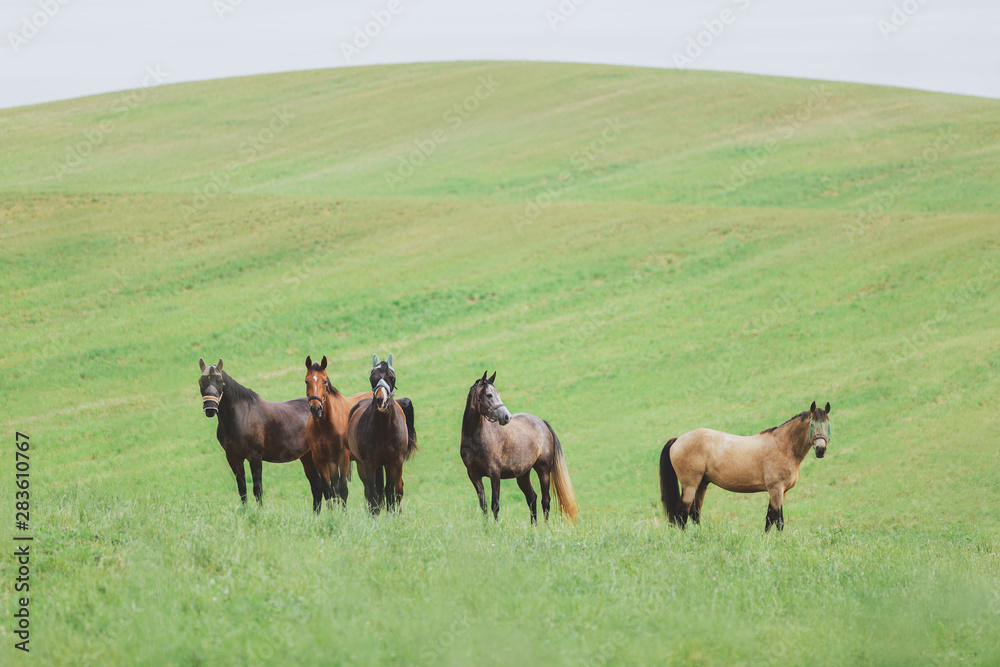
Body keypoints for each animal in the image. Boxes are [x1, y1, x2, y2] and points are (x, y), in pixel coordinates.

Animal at [198, 358, 318, 507]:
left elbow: (257, 489)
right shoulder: (233, 457)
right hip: (307, 457)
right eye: (201, 381)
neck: (241, 416)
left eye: (220, 381)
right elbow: (242, 489)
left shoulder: (255, 457)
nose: (210, 408)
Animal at [303, 355, 370, 512]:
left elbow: (343, 489)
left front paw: (343, 515)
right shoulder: (320, 459)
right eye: (306, 381)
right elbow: (329, 490)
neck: (326, 426)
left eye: (325, 381)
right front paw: (331, 514)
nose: (316, 409)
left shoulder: (343, 456)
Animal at [346, 354, 417, 514]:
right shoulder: (369, 464)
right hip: (363, 465)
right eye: (372, 378)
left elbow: (390, 491)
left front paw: (392, 516)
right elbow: (373, 494)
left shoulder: (395, 462)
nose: (381, 400)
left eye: (392, 377)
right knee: (369, 491)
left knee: (398, 489)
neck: (385, 430)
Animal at [460, 371, 578, 524]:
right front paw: (486, 528)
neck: (475, 438)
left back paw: (546, 528)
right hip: (523, 474)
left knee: (545, 501)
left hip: (544, 470)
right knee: (532, 498)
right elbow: (484, 506)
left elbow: (495, 504)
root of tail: (542, 423)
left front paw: (496, 528)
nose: (506, 417)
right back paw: (533, 527)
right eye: (489, 395)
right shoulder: (474, 475)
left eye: (498, 393)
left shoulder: (494, 474)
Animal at [659, 401, 832, 532]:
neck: (782, 446)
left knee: (695, 513)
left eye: (827, 424)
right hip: (690, 485)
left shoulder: (781, 491)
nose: (820, 449)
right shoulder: (776, 489)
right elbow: (778, 519)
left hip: (702, 484)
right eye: (811, 424)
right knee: (683, 512)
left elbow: (770, 518)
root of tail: (678, 439)